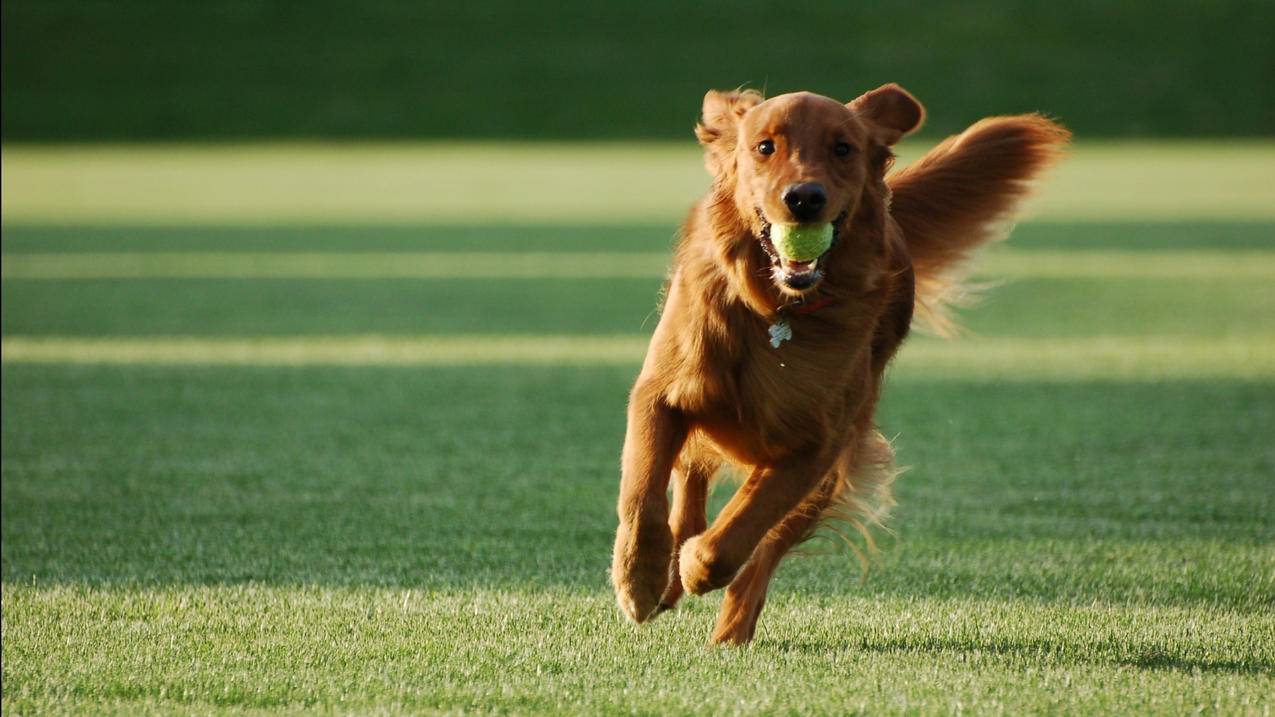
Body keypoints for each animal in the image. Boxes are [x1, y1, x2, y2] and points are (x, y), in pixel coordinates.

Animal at [609, 82, 1065, 643]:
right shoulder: (660, 394)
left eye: (843, 149)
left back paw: (729, 627)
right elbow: (643, 496)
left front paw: (697, 566)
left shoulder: (817, 444)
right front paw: (640, 579)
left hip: (835, 463)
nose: (804, 198)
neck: (775, 308)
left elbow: (740, 529)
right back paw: (670, 579)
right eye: (765, 147)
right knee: (690, 483)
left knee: (764, 551)